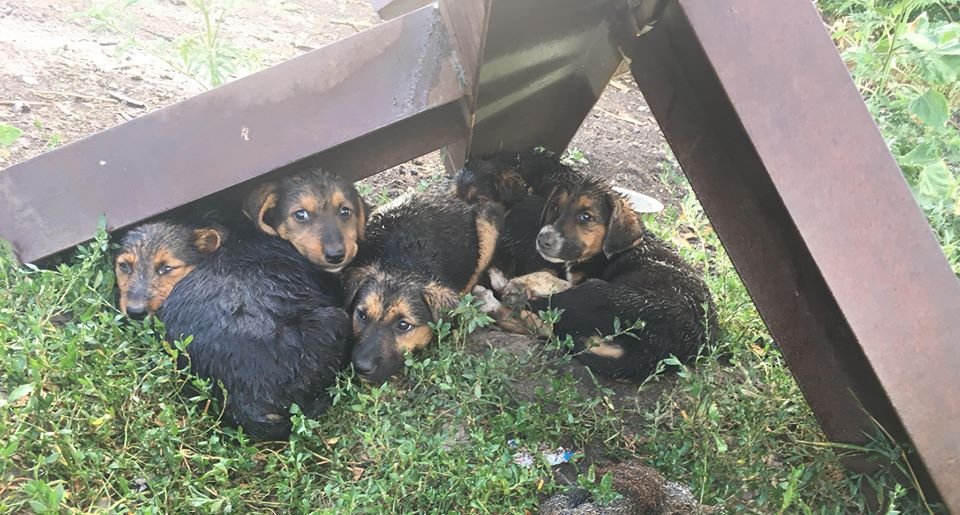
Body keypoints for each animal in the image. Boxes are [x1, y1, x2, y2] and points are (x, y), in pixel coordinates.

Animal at [462, 151, 716, 380]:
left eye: (586, 217)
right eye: (554, 207)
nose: (542, 240)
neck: (607, 253)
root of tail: (653, 354)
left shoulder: (584, 282)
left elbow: (551, 280)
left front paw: (522, 284)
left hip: (600, 295)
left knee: (539, 312)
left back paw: (497, 295)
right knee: (545, 323)